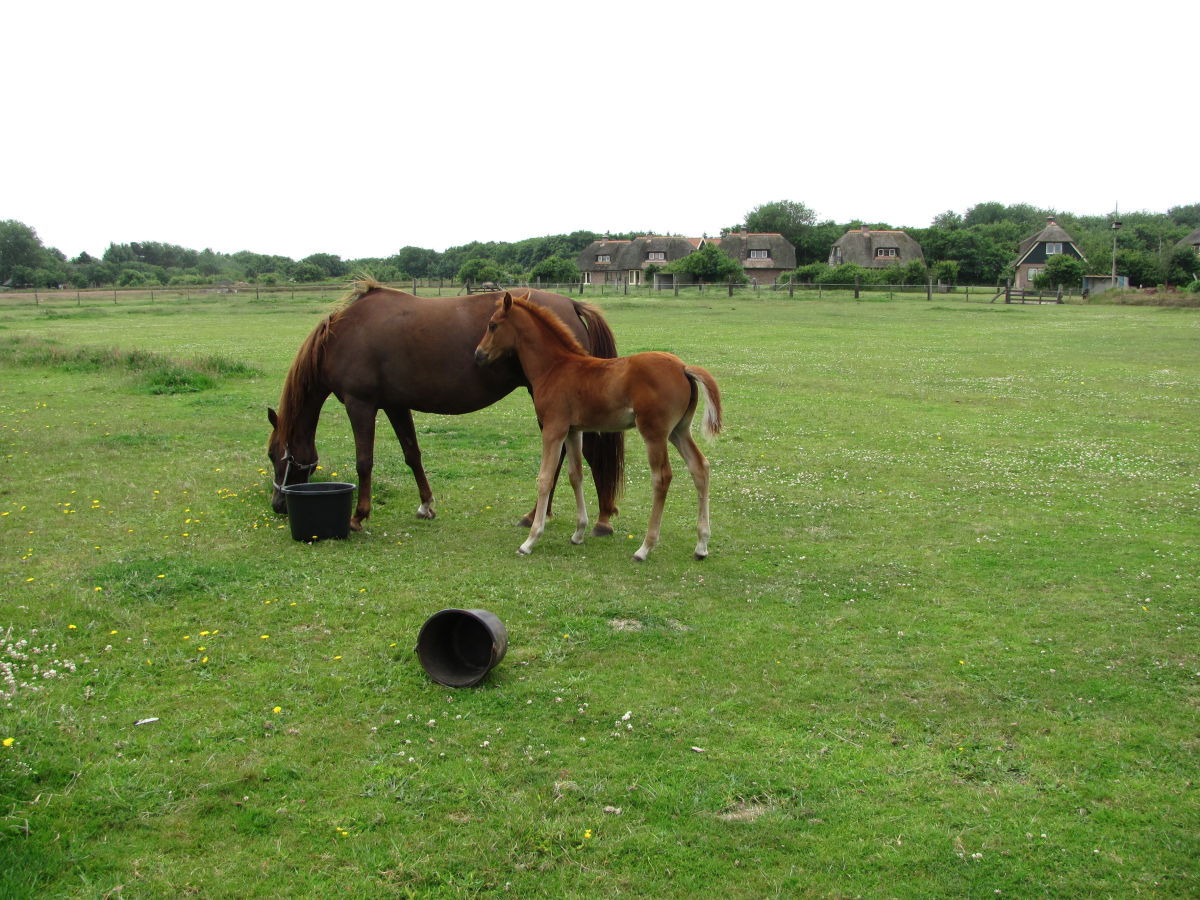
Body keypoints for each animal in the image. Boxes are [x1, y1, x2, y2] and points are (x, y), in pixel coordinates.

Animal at [267, 278, 624, 532]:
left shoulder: (361, 405)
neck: (344, 336)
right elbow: (412, 454)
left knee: (580, 453)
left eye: (274, 455)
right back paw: (547, 514)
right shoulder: (395, 406)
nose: (277, 505)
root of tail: (571, 303)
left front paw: (358, 516)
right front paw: (426, 505)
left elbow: (364, 462)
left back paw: (595, 519)